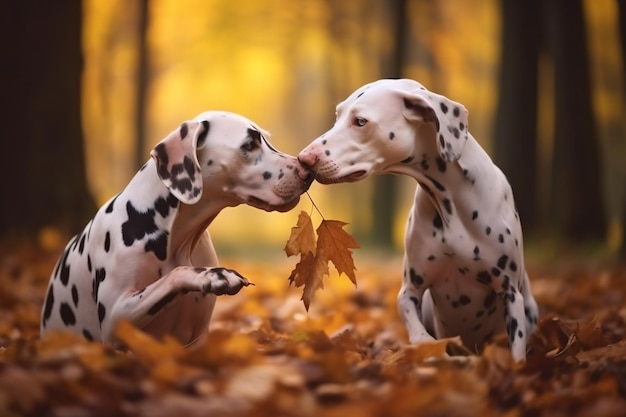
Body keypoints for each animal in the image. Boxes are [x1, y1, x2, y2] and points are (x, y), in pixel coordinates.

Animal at [40, 109, 312, 344]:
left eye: (266, 140)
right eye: (248, 145)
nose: (307, 170)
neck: (177, 237)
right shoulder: (116, 318)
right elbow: (173, 275)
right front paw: (212, 275)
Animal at [298, 79, 536, 360]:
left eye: (360, 121)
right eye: (338, 116)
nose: (304, 158)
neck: (451, 203)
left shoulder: (510, 293)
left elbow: (516, 351)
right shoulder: (410, 290)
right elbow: (419, 331)